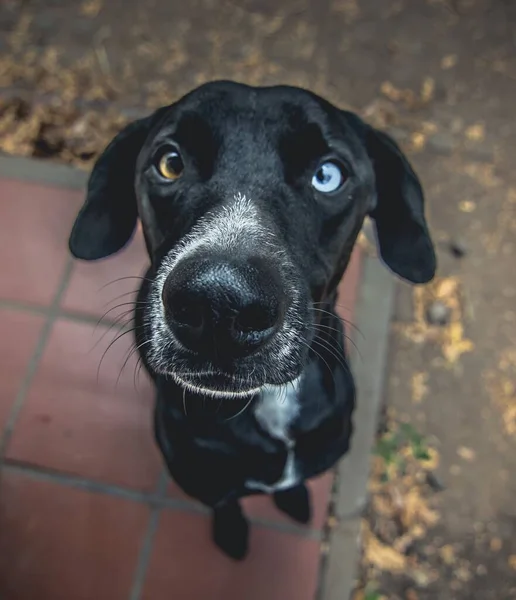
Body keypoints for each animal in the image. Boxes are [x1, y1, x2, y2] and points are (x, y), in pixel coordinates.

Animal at [66, 79, 434, 556]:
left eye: (328, 175)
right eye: (170, 163)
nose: (219, 303)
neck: (269, 401)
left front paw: (293, 497)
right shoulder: (204, 478)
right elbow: (227, 503)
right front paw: (232, 533)